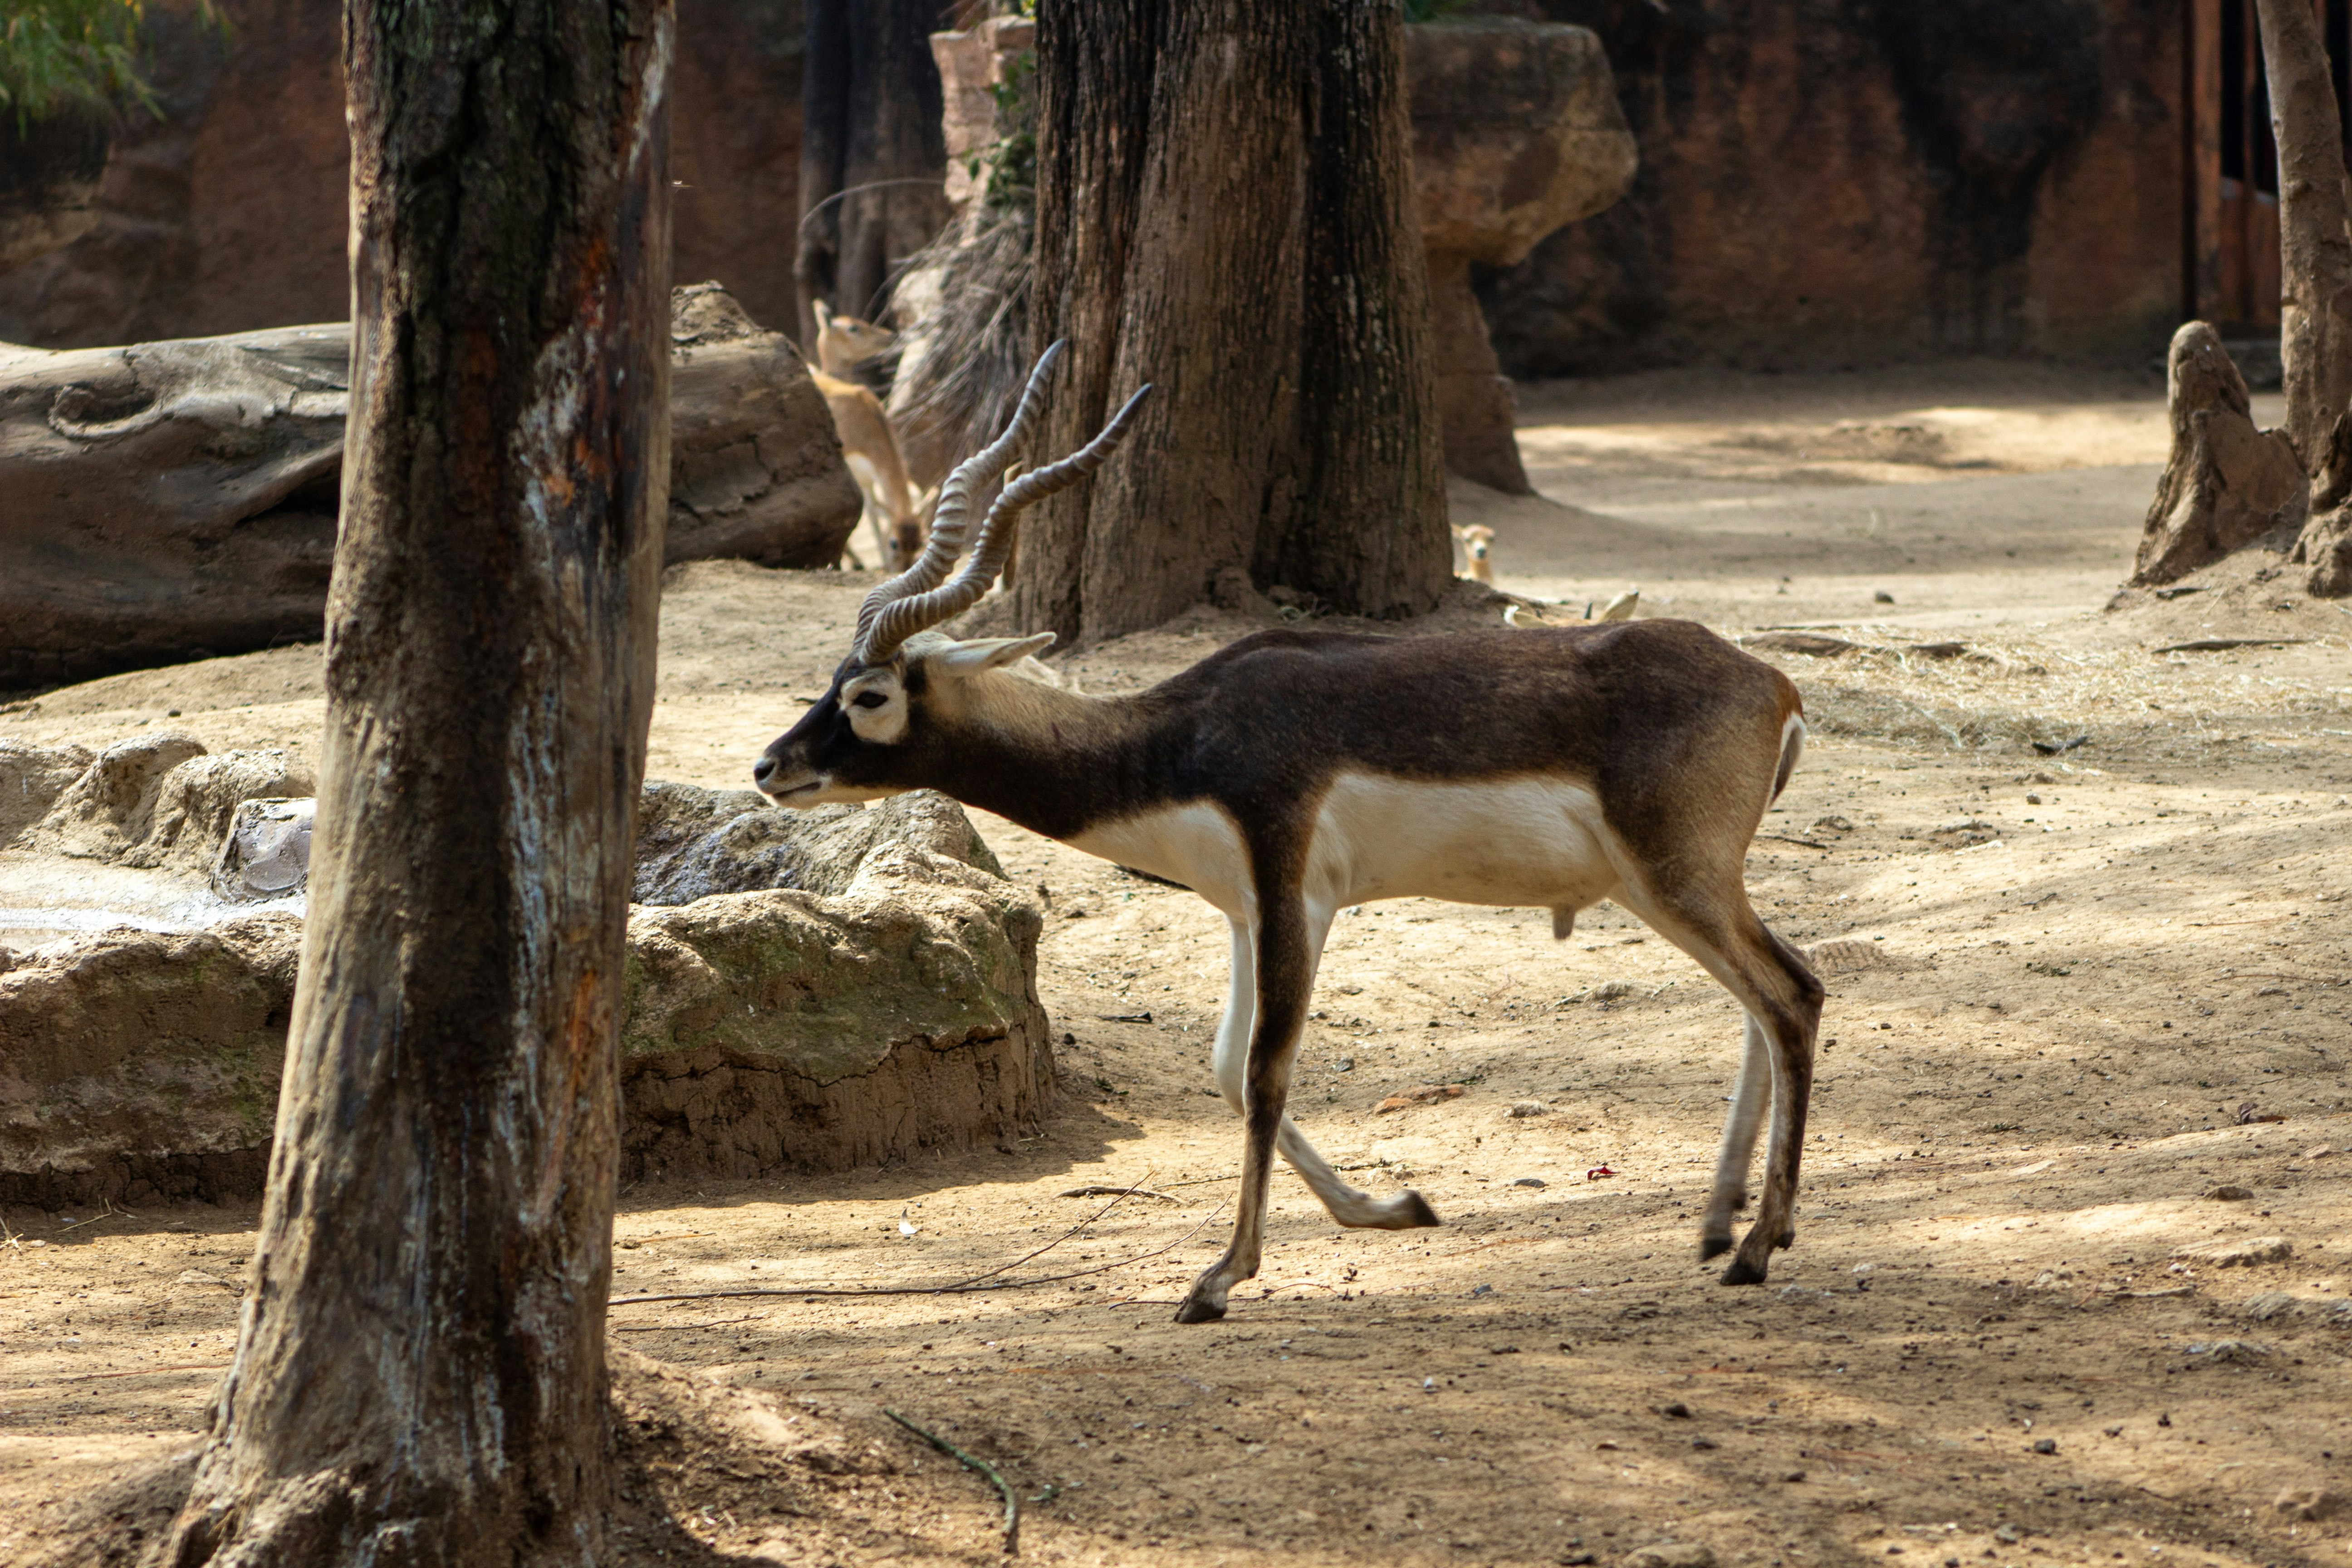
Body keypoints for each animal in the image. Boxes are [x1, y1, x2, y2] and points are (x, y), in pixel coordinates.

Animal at [755, 346, 1823, 1324]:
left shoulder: (1290, 891)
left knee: (1792, 997)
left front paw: (1220, 1278)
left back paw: (1756, 1246)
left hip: (1676, 879)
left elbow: (1266, 1071)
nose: (770, 767)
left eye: (870, 695)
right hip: (1663, 888)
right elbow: (1228, 1068)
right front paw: (1392, 1208)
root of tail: (1773, 684)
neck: (1177, 739)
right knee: (1760, 1005)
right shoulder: (1242, 912)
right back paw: (1722, 1225)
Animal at [810, 301, 925, 572]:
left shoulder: (869, 478)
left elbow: (873, 514)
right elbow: (866, 513)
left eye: (920, 544)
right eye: (895, 543)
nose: (891, 336)